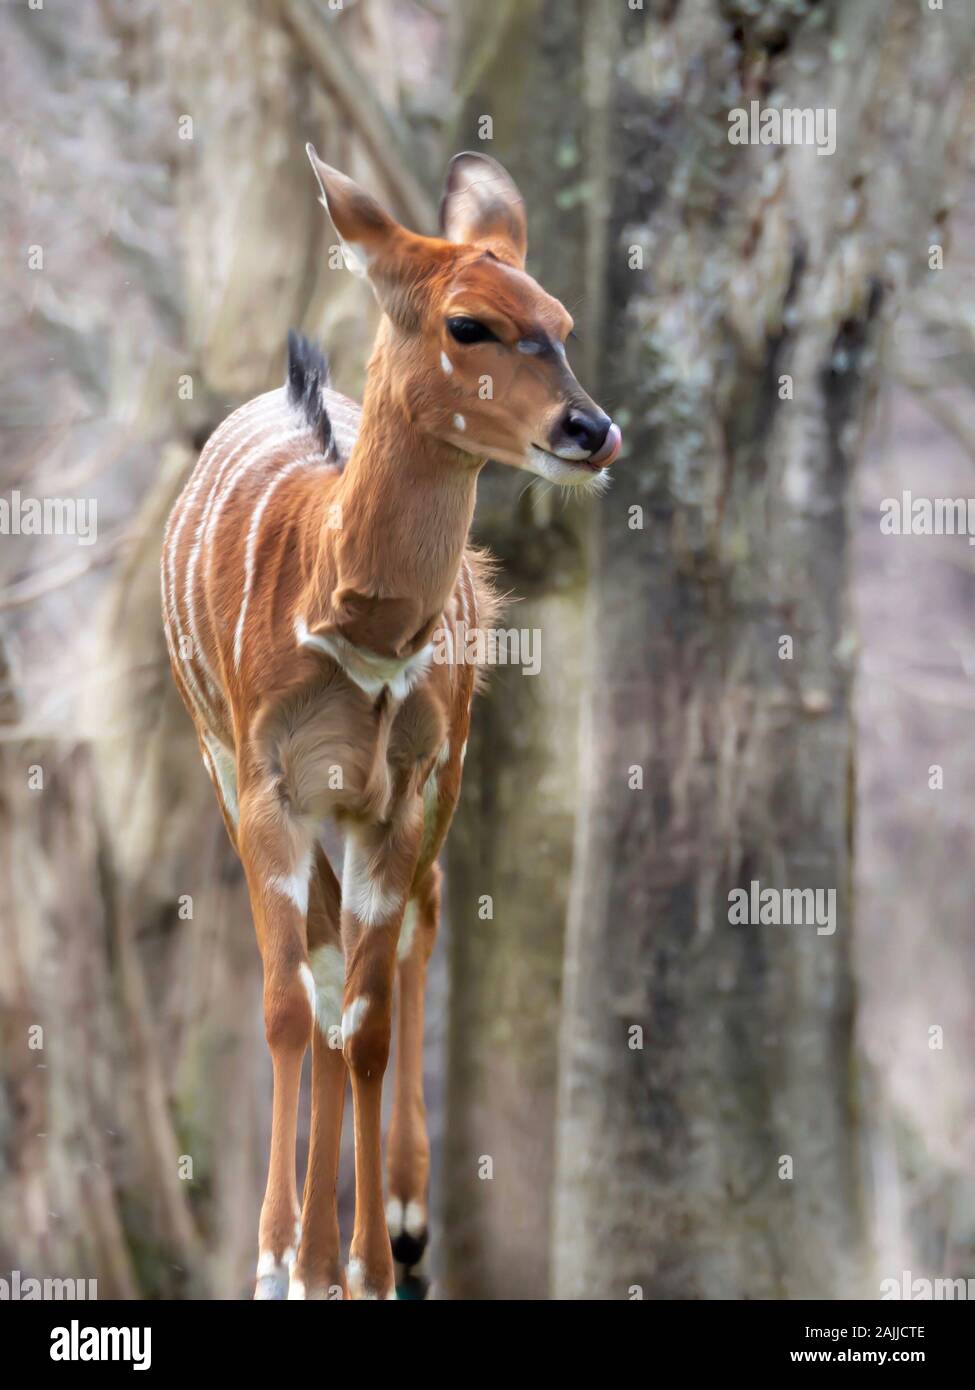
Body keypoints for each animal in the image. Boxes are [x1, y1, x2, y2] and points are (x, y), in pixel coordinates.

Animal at [161, 146, 622, 1300]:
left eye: (559, 318)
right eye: (470, 323)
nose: (591, 431)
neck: (340, 607)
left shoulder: (400, 790)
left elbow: (366, 1020)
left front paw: (367, 1259)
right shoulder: (267, 783)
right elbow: (294, 1004)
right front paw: (278, 1258)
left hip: (426, 792)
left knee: (409, 932)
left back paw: (400, 1227)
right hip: (231, 769)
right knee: (324, 973)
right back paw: (313, 1253)